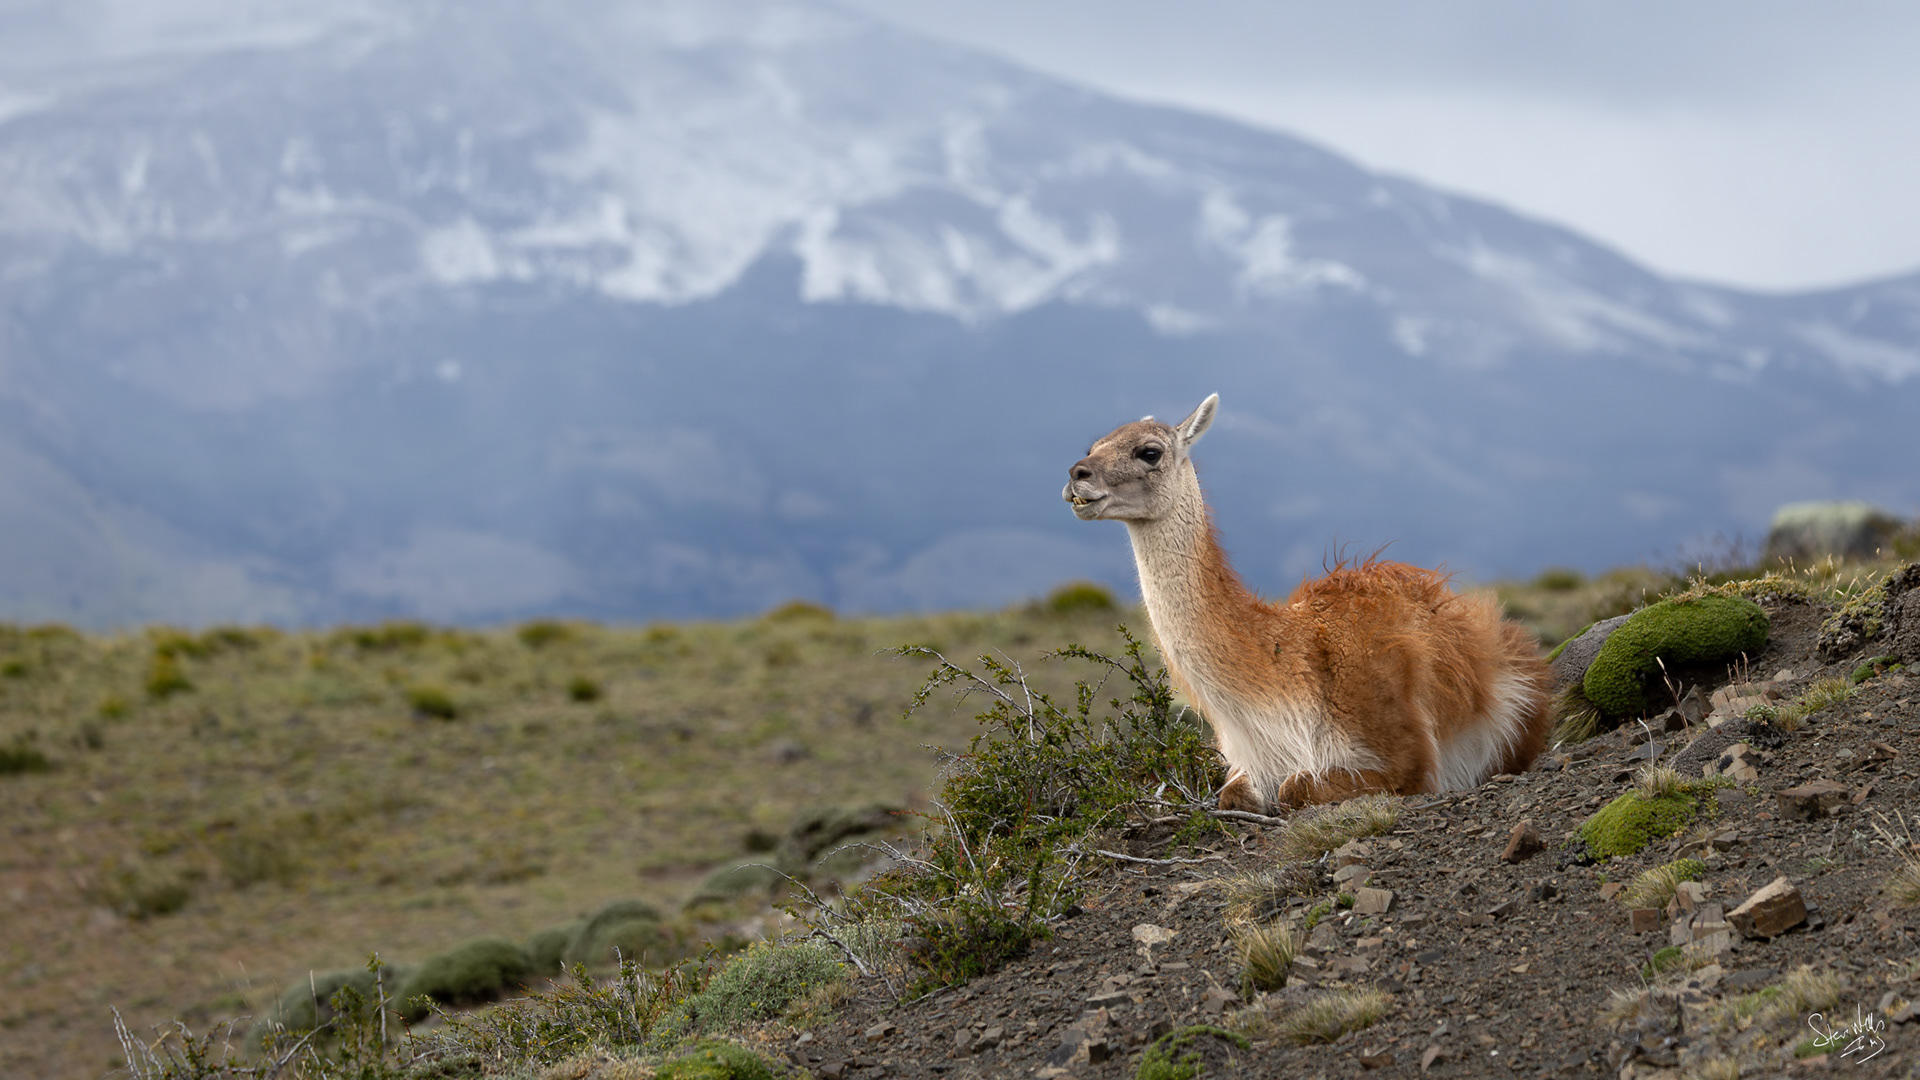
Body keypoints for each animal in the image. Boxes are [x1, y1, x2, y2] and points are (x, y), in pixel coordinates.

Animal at [1063, 393, 1552, 812]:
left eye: (1149, 452)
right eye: (1093, 446)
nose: (1076, 475)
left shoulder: (1404, 758)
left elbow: (1296, 787)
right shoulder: (1245, 764)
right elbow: (1233, 796)